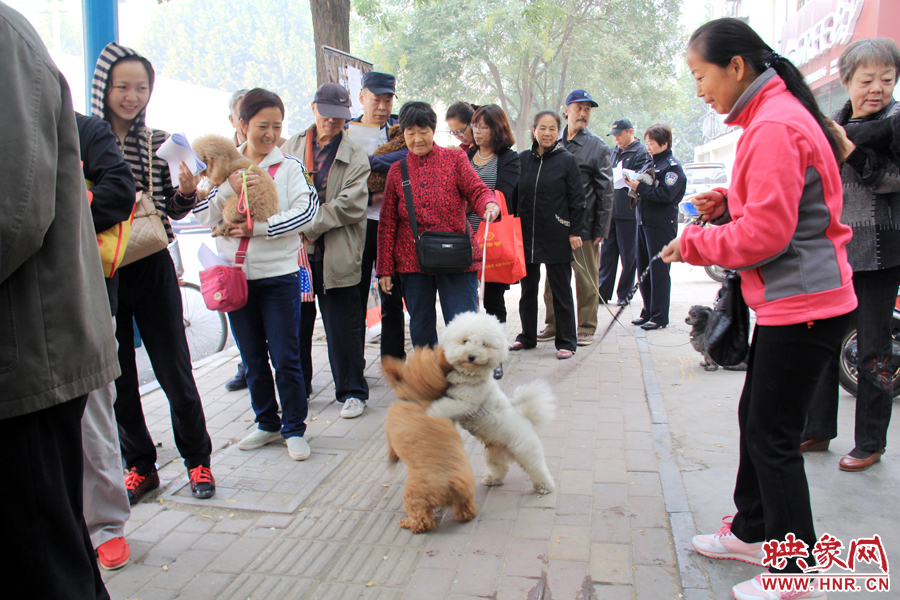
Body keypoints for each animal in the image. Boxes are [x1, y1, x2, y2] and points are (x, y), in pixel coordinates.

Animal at [382, 346, 478, 536]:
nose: (442, 349)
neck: (419, 398)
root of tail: (453, 482)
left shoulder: (391, 429)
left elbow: (391, 449)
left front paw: (392, 459)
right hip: (466, 494)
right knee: (465, 509)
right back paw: (466, 514)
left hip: (414, 496)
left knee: (422, 519)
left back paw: (409, 523)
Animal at [428, 312, 560, 494]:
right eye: (465, 340)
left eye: (484, 344)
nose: (471, 356)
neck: (469, 376)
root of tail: (526, 420)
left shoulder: (465, 403)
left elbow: (441, 407)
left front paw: (428, 412)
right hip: (494, 452)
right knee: (500, 467)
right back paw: (492, 479)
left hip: (527, 451)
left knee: (538, 468)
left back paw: (545, 486)